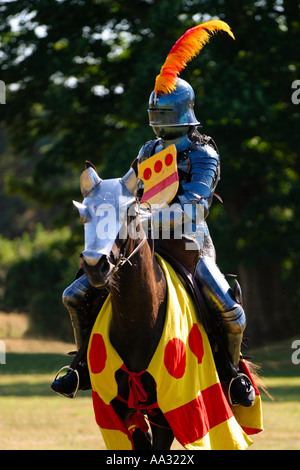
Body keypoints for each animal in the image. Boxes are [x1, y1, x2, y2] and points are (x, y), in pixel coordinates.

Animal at [73, 162, 262, 452]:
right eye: (85, 215)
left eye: (130, 213)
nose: (95, 265)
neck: (137, 326)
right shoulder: (121, 412)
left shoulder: (168, 413)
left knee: (233, 316)